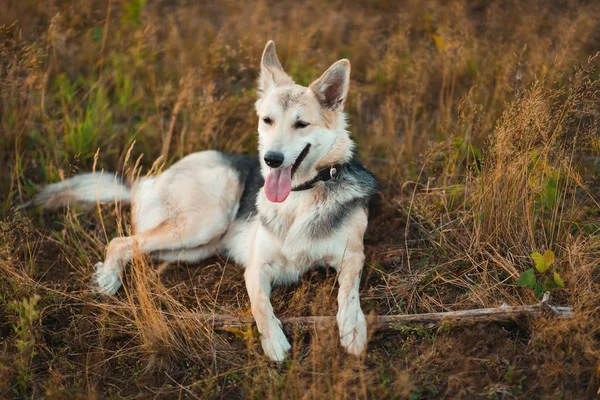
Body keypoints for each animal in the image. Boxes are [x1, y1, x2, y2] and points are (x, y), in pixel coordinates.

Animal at [28, 41, 378, 362]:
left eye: (301, 124)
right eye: (267, 120)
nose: (272, 159)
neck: (300, 195)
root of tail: (147, 183)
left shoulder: (352, 256)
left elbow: (348, 293)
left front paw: (352, 330)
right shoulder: (257, 268)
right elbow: (260, 306)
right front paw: (274, 342)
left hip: (194, 246)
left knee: (135, 247)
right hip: (206, 220)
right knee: (120, 241)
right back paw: (108, 279)